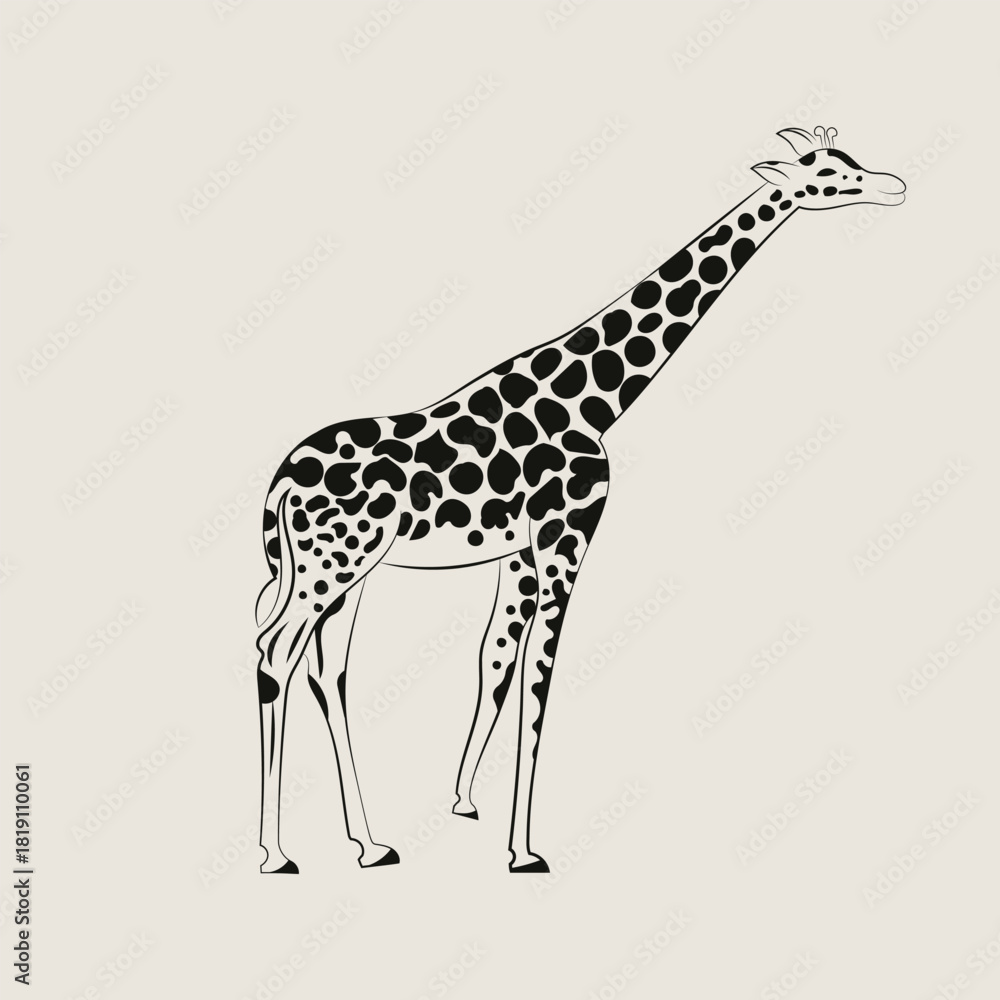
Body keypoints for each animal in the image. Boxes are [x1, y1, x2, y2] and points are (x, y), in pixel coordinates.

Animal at [253, 126, 905, 874]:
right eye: (830, 176)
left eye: (851, 162)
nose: (893, 186)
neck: (594, 401)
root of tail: (279, 484)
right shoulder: (567, 536)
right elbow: (538, 684)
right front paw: (523, 851)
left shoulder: (519, 553)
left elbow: (497, 661)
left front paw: (464, 802)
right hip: (333, 563)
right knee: (274, 652)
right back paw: (275, 853)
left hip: (343, 569)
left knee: (325, 668)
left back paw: (370, 842)